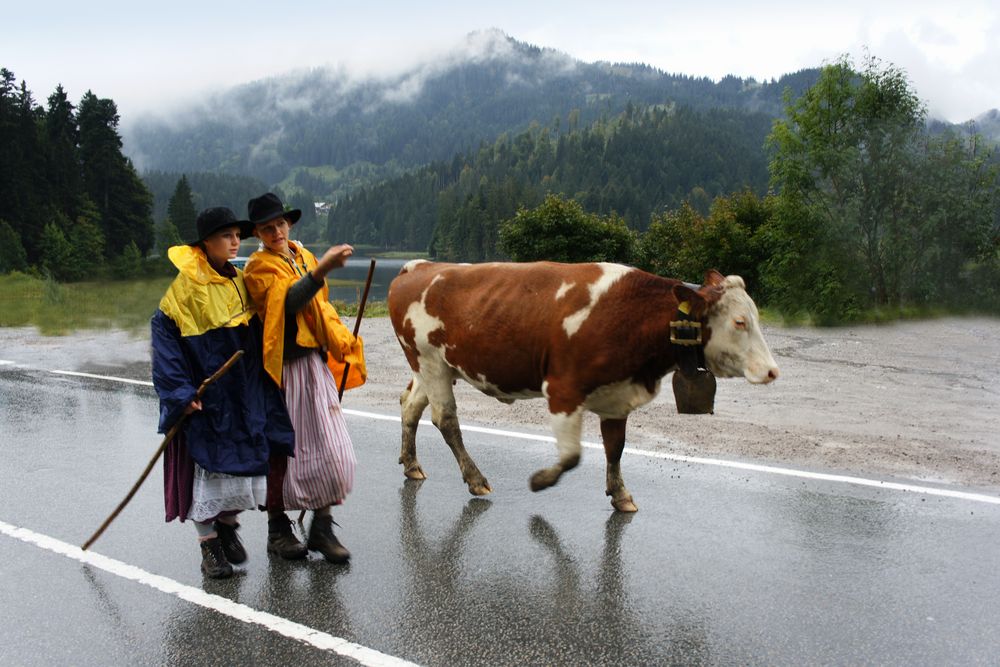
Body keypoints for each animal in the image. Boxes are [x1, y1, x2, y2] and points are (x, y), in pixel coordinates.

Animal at [386, 260, 776, 512]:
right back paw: (475, 478)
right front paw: (541, 480)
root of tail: (420, 266)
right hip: (430, 360)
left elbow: (615, 448)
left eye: (756, 316)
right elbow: (572, 456)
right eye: (739, 322)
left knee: (411, 405)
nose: (772, 371)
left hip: (434, 367)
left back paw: (411, 464)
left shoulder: (617, 396)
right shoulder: (562, 390)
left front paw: (621, 495)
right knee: (446, 420)